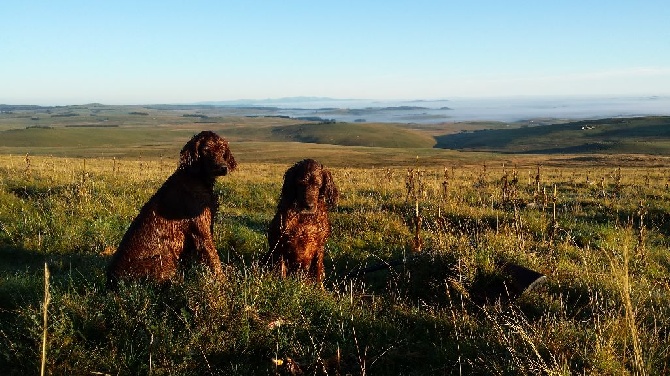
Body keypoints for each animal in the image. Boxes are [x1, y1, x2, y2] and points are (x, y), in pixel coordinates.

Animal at [106, 131, 238, 286]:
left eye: (222, 149)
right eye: (206, 150)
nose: (223, 167)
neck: (197, 178)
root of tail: (110, 278)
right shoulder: (201, 231)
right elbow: (214, 259)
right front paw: (225, 283)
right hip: (166, 258)